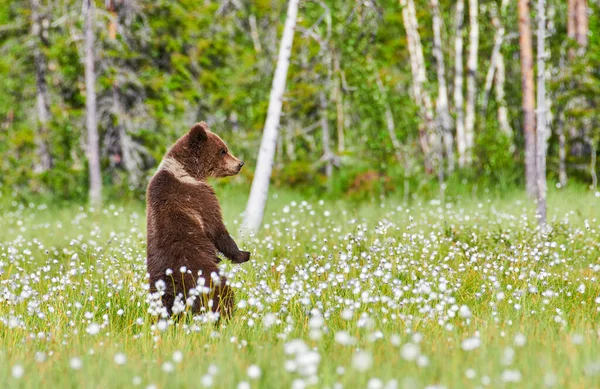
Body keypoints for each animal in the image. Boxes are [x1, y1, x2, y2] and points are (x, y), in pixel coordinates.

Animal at [148, 121, 251, 318]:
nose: (240, 164)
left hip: (157, 291)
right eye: (222, 150)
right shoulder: (199, 198)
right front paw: (243, 254)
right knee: (221, 293)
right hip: (205, 276)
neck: (188, 171)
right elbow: (217, 228)